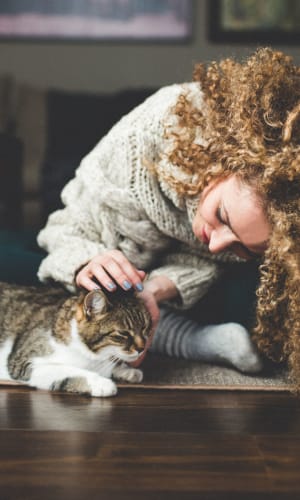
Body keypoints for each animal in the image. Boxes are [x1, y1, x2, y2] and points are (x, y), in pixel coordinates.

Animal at [0, 284, 151, 396]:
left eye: (145, 327)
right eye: (123, 333)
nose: (142, 348)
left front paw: (127, 370)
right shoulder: (24, 363)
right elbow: (69, 370)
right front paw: (101, 383)